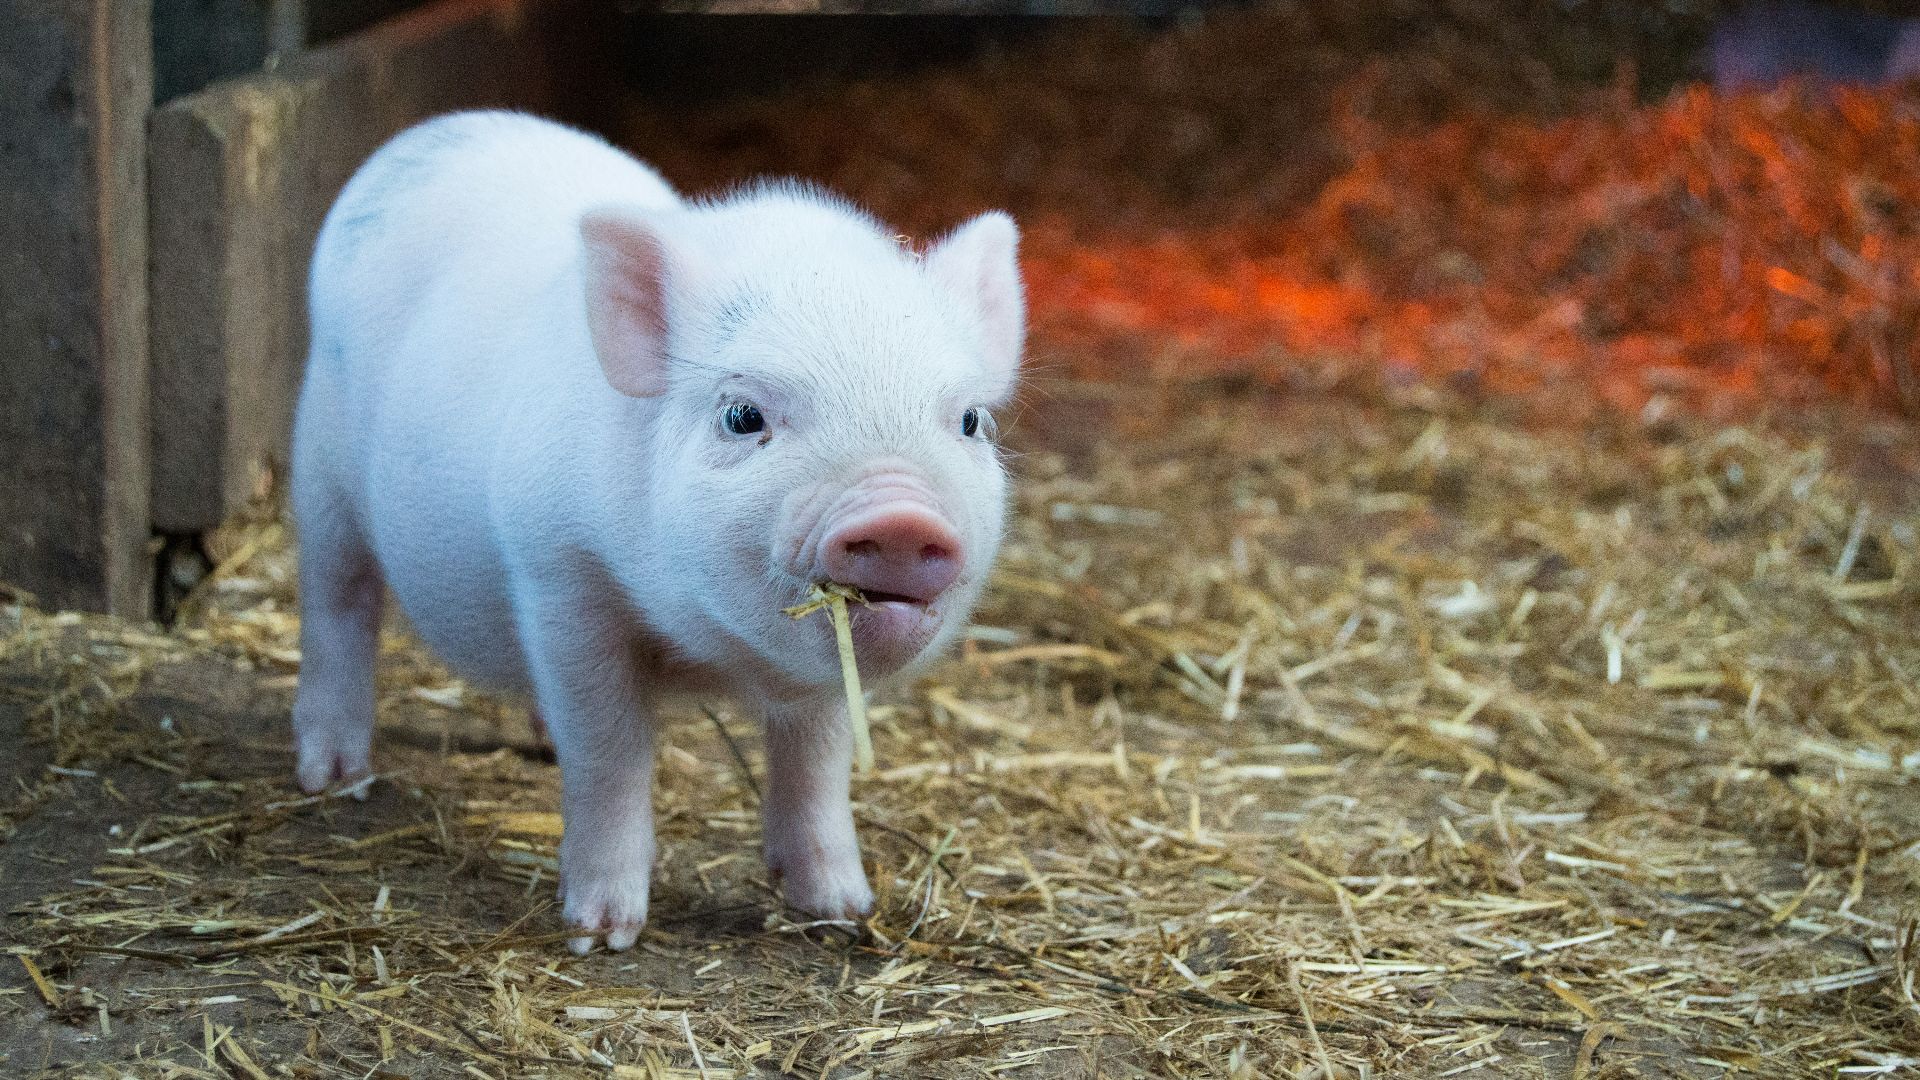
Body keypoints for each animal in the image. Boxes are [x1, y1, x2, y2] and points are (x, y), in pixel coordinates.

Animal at [290, 110, 1023, 952]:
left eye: (970, 421)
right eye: (742, 415)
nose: (900, 515)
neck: (709, 653)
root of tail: (435, 132)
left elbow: (817, 760)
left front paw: (842, 910)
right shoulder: (559, 575)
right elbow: (609, 752)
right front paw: (601, 934)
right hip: (320, 468)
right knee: (338, 601)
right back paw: (333, 778)